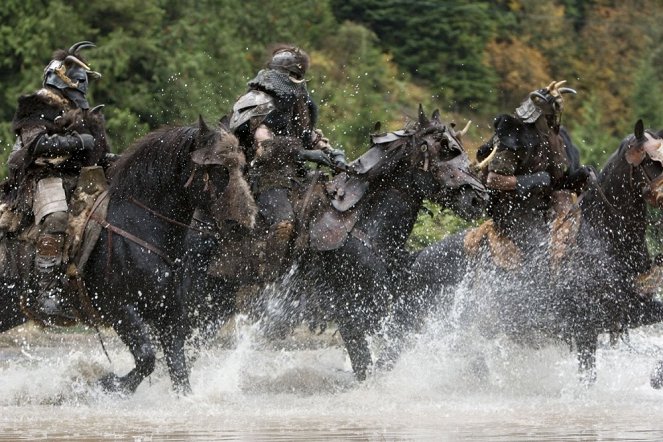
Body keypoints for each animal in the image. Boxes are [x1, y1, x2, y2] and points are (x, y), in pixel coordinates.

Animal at [0, 116, 255, 394]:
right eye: (219, 169)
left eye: (241, 166)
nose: (244, 223)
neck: (138, 223)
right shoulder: (121, 310)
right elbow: (146, 359)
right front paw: (105, 384)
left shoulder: (167, 315)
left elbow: (178, 370)